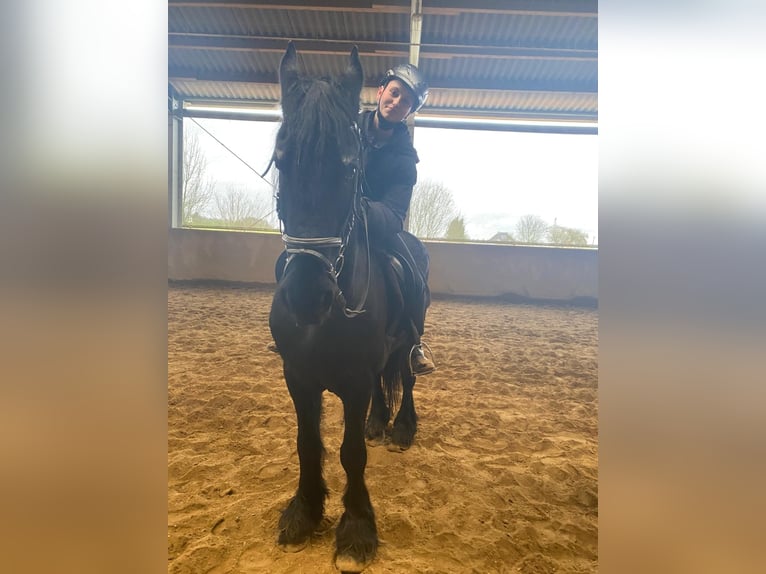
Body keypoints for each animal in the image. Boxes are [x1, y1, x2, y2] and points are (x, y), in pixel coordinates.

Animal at [268, 41, 428, 571]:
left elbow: (351, 452)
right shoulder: (299, 377)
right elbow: (308, 443)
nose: (306, 296)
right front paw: (303, 512)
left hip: (410, 340)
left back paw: (401, 429)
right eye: (281, 162)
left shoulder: (355, 381)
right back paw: (381, 422)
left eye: (350, 168)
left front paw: (357, 529)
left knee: (406, 373)